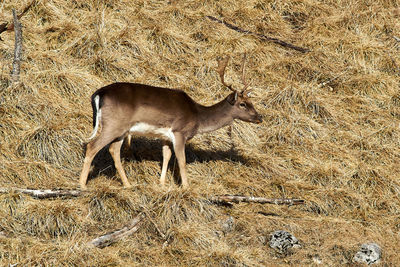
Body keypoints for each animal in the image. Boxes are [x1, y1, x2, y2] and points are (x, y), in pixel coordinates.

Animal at [79, 55, 264, 191]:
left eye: (252, 102)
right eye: (243, 104)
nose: (259, 117)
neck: (198, 116)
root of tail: (98, 93)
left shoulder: (166, 136)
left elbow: (166, 156)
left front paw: (161, 183)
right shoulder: (179, 132)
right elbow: (181, 160)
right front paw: (186, 187)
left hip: (122, 130)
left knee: (113, 150)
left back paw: (128, 184)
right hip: (114, 124)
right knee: (92, 146)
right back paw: (82, 185)